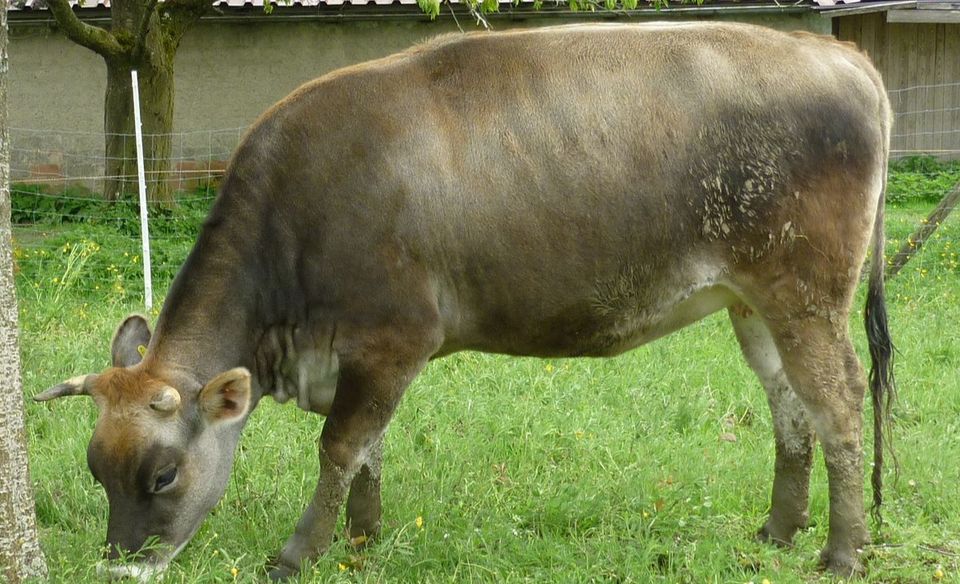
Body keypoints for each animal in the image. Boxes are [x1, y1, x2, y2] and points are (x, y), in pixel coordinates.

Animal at [35, 21, 892, 580]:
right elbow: (370, 450)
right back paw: (779, 530)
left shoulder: (392, 340)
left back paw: (842, 551)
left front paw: (298, 554)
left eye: (162, 477)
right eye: (95, 471)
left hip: (805, 291)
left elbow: (341, 447)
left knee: (839, 400)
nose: (120, 568)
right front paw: (362, 543)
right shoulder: (361, 357)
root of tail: (836, 51)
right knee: (790, 407)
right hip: (754, 302)